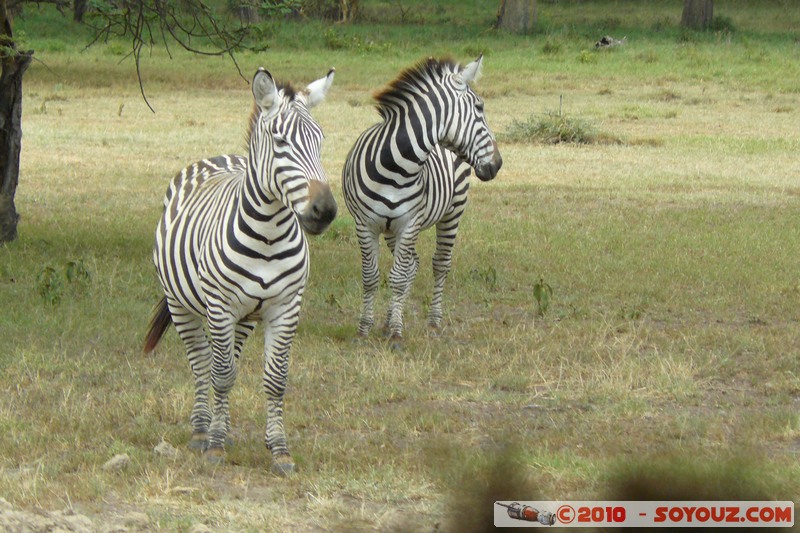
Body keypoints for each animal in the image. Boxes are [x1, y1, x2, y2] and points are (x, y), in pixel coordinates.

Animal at [143, 67, 336, 476]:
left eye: (321, 140)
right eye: (280, 141)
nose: (324, 211)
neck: (269, 234)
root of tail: (219, 157)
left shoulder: (285, 308)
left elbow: (275, 379)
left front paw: (280, 451)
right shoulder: (220, 306)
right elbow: (220, 374)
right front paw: (215, 446)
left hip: (246, 316)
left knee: (226, 359)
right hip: (181, 305)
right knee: (202, 362)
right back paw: (202, 432)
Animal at [342, 56, 502, 344]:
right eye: (480, 107)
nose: (498, 164)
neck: (394, 165)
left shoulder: (409, 223)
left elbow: (397, 278)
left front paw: (396, 332)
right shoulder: (364, 224)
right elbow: (371, 277)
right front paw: (364, 329)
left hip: (453, 211)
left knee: (439, 264)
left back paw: (433, 321)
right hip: (391, 229)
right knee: (412, 265)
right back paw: (389, 320)